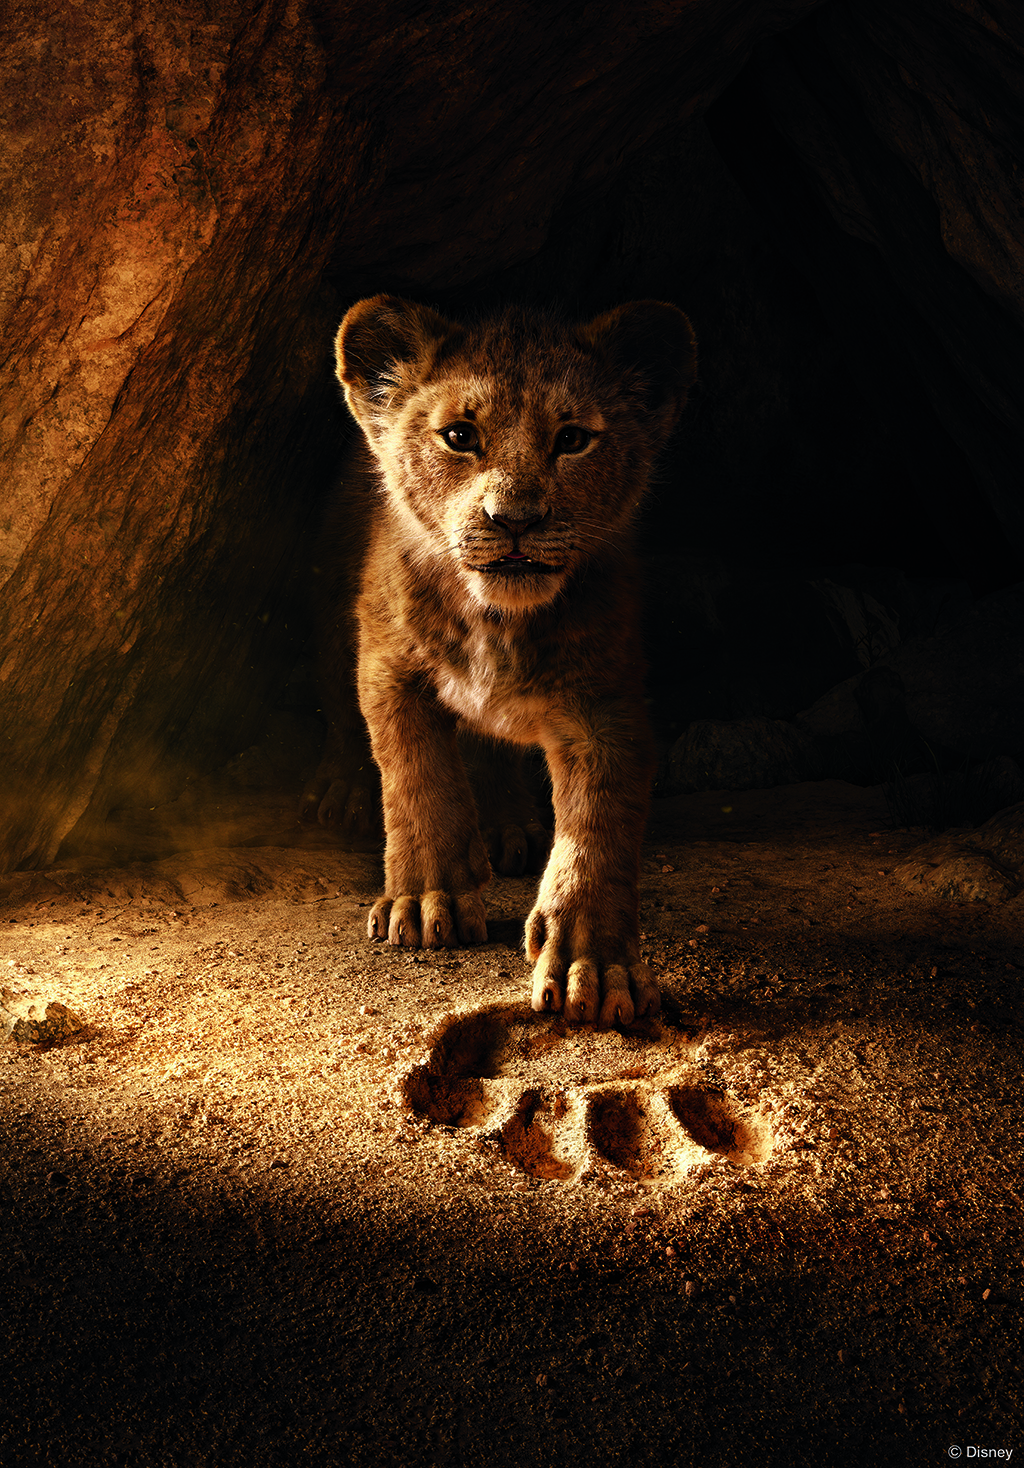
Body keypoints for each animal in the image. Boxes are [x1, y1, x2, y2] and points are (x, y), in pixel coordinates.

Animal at [301, 295, 697, 1025]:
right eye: (459, 435)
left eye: (573, 439)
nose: (515, 519)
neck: (496, 619)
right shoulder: (389, 667)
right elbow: (417, 779)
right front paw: (425, 900)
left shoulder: (605, 705)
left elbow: (598, 827)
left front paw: (593, 965)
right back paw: (341, 791)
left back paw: (511, 826)